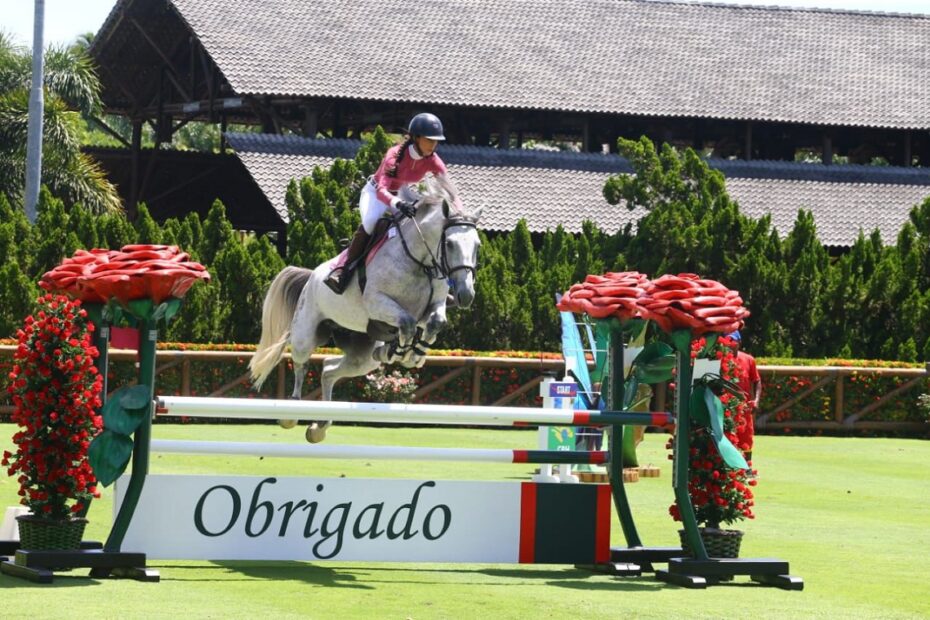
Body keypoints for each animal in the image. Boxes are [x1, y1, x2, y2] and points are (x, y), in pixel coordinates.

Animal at [248, 177, 478, 444]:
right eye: (449, 244)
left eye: (477, 246)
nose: (465, 295)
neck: (419, 261)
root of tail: (310, 276)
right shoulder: (378, 302)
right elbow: (407, 322)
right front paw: (400, 351)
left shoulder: (435, 305)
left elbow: (434, 323)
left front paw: (413, 354)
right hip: (306, 331)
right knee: (301, 364)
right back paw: (292, 413)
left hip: (362, 356)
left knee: (329, 369)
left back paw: (320, 426)